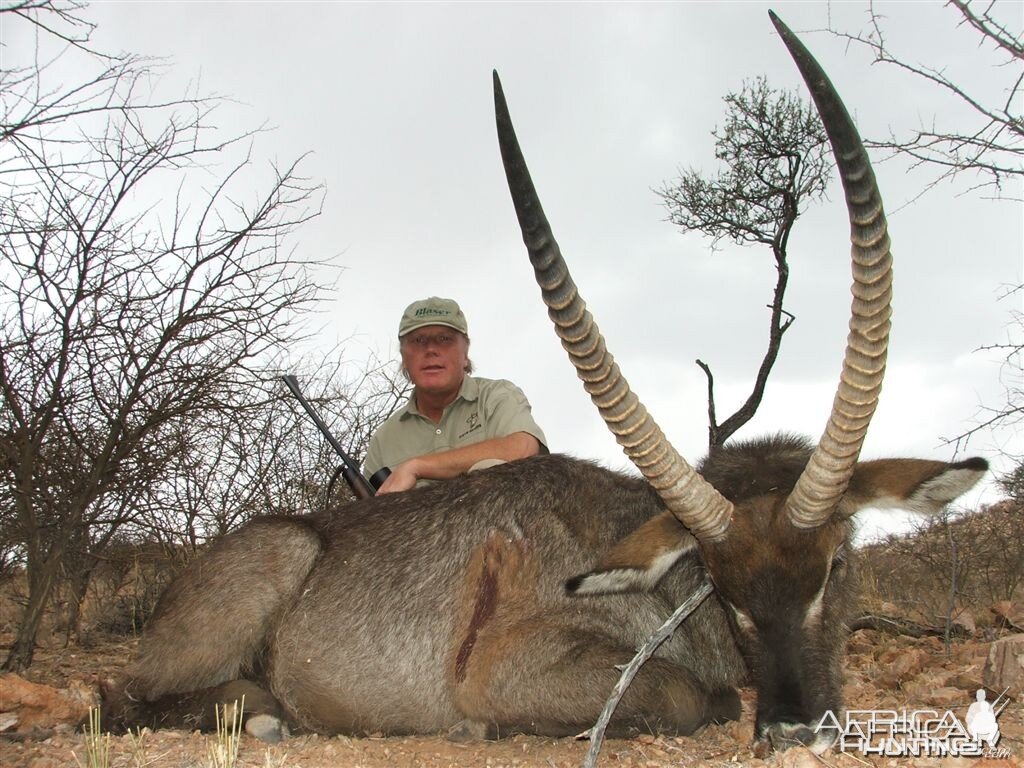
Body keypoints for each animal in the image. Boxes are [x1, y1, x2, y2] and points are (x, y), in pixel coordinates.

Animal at [103, 13, 983, 757]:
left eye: (835, 564)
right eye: (724, 587)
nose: (798, 730)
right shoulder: (503, 670)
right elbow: (691, 697)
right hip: (269, 567)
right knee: (123, 699)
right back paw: (264, 711)